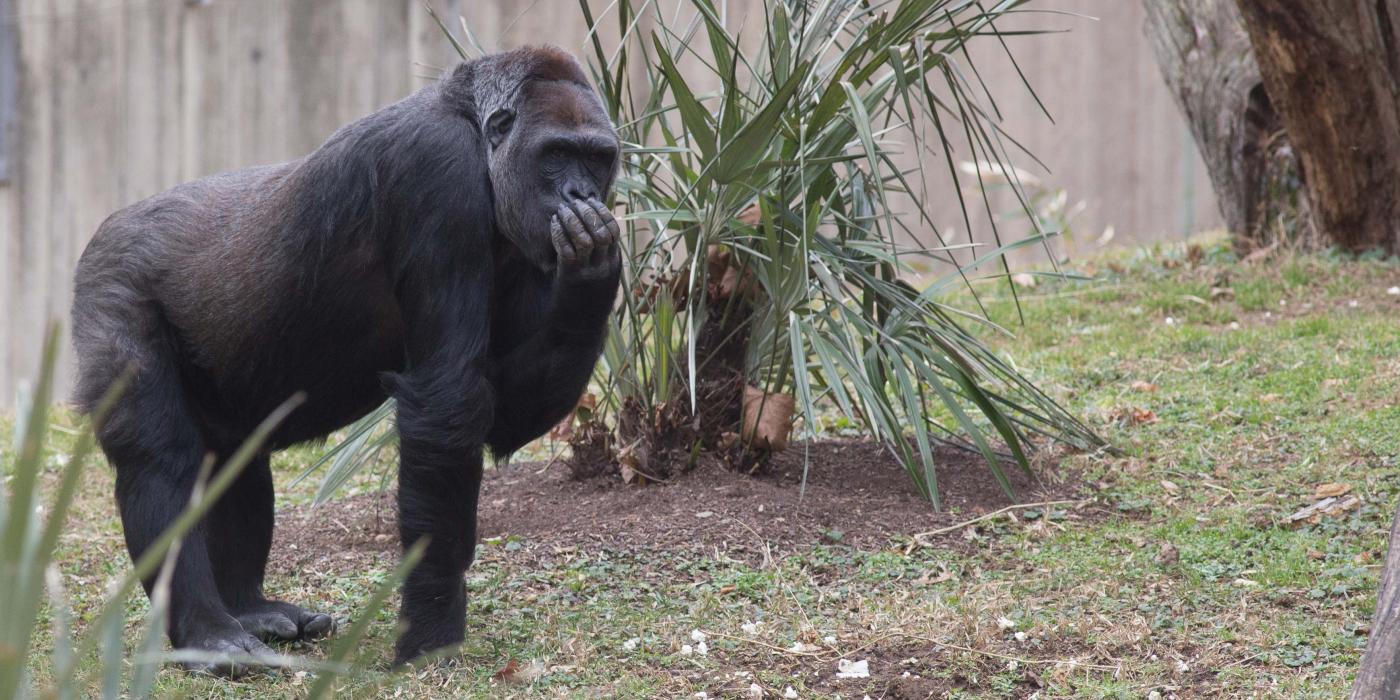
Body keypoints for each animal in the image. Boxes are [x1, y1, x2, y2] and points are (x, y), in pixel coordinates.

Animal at [71, 45, 618, 672]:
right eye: (556, 154)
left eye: (597, 158)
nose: (581, 196)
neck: (479, 138)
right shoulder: (436, 174)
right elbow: (448, 401)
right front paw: (431, 628)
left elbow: (505, 417)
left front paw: (592, 275)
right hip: (111, 280)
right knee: (160, 459)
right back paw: (207, 631)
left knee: (238, 454)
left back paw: (249, 609)